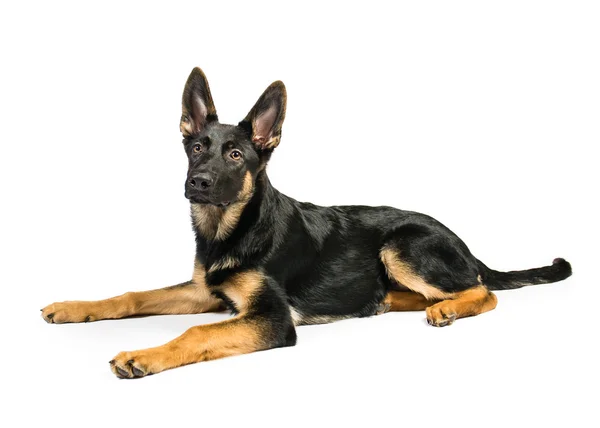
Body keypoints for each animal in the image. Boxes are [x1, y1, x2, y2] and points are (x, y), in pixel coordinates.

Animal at [39, 67, 576, 378]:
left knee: (482, 289)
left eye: (235, 154)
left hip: (402, 245)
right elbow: (133, 295)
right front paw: (72, 307)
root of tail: (461, 240)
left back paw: (447, 308)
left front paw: (142, 355)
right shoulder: (205, 291)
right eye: (196, 148)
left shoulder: (273, 319)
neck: (233, 228)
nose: (198, 183)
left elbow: (195, 334)